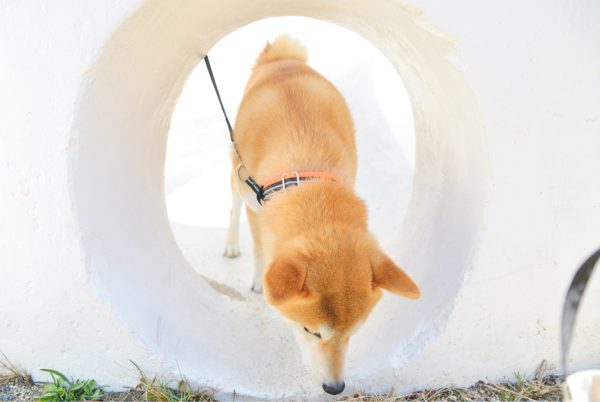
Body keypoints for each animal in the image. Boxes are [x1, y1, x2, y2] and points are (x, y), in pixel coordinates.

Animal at [223, 35, 420, 396]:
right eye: (309, 331)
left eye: (354, 333)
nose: (335, 387)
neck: (305, 176)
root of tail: (281, 58)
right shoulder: (256, 205)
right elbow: (259, 248)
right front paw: (260, 279)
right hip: (237, 173)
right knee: (232, 209)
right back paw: (231, 244)